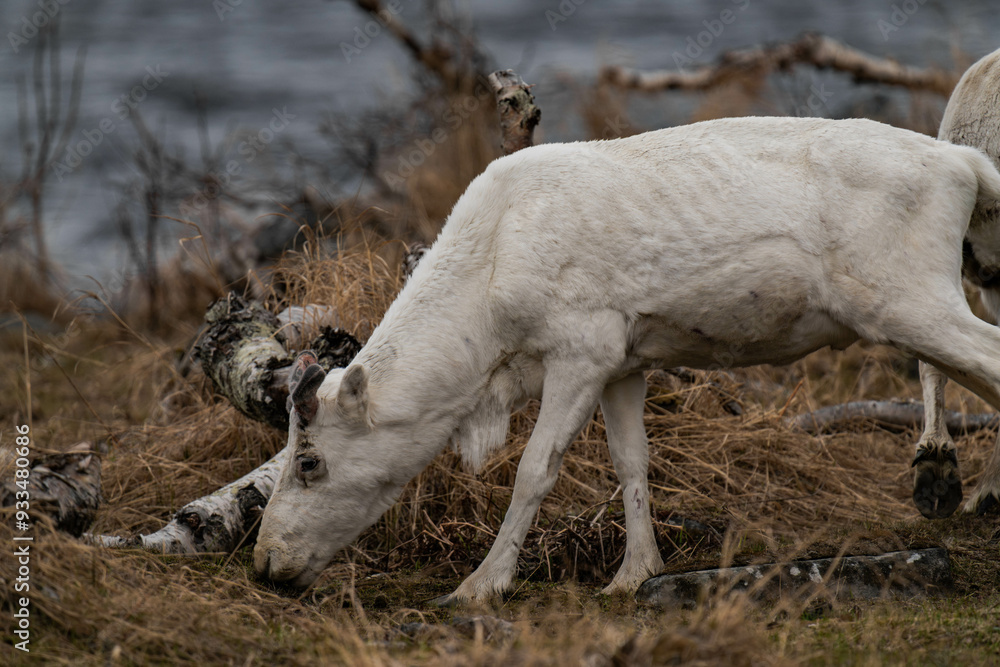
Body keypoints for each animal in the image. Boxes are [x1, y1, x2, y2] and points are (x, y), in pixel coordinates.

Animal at [254, 115, 1000, 604]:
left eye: (309, 460)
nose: (264, 563)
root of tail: (966, 166)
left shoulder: (581, 349)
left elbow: (534, 469)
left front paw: (479, 585)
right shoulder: (624, 363)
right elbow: (631, 461)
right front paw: (633, 575)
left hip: (911, 301)